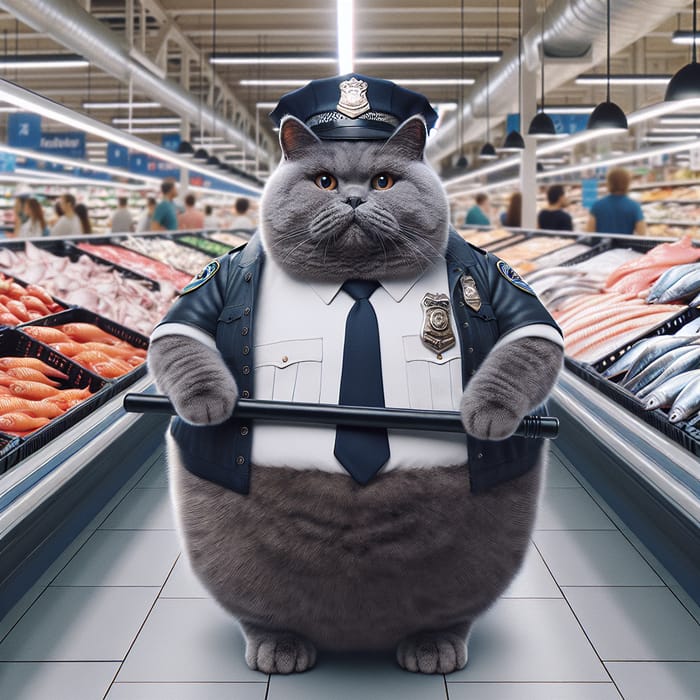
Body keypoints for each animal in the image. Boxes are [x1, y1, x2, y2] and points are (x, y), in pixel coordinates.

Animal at [149, 113, 564, 672]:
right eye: (324, 181)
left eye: (383, 182)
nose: (351, 198)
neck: (357, 279)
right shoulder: (207, 292)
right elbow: (180, 345)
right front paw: (209, 403)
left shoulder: (507, 294)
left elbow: (523, 351)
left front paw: (487, 413)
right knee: (260, 605)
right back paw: (280, 645)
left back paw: (432, 645)